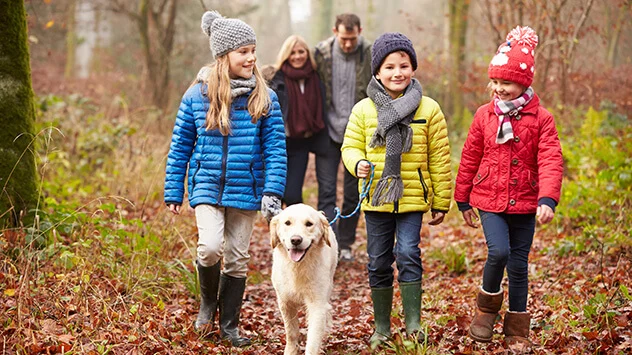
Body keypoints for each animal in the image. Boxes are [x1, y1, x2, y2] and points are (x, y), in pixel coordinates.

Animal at [270, 203, 338, 355]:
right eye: (287, 223)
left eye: (309, 224)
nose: (296, 240)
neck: (298, 266)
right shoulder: (285, 302)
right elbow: (291, 332)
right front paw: (291, 351)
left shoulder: (317, 304)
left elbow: (312, 339)